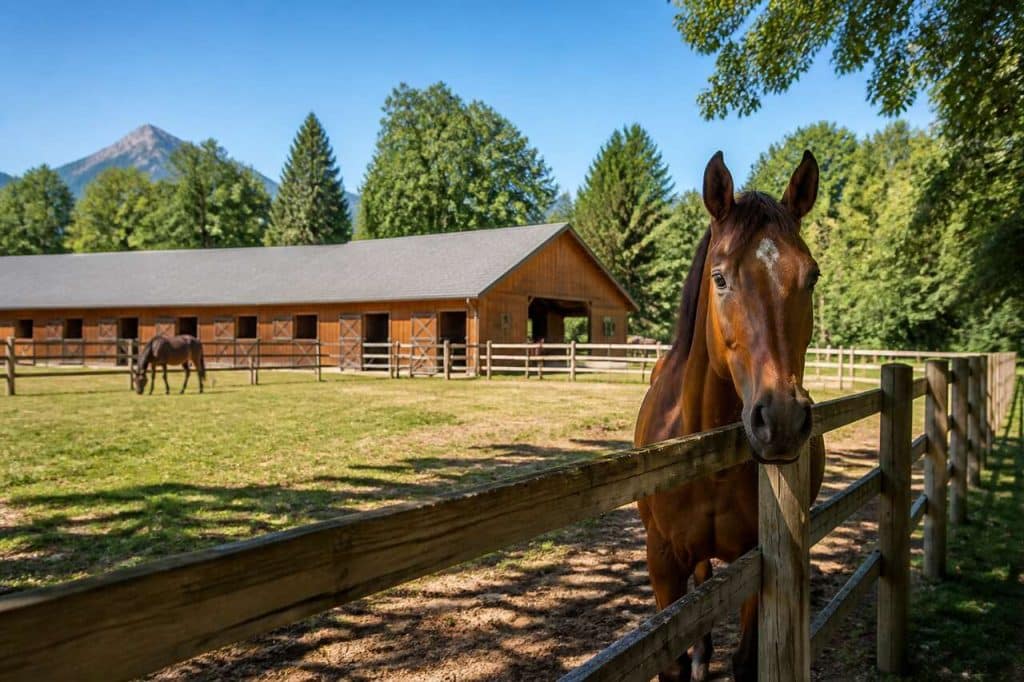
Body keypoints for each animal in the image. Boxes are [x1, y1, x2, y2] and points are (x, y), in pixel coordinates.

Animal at [634, 150, 827, 682]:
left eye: (811, 276)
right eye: (720, 277)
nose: (781, 419)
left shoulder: (756, 560)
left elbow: (747, 659)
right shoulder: (662, 561)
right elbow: (673, 664)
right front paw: (695, 660)